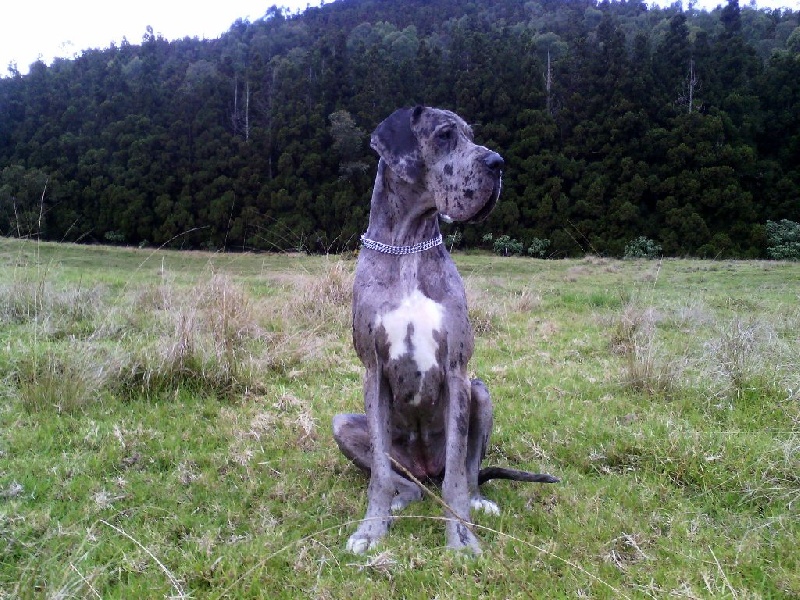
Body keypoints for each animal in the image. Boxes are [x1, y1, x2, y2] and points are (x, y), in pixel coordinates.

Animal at [333, 106, 557, 554]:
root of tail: (424, 468)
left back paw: (477, 500)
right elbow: (379, 473)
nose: (498, 163)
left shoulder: (457, 371)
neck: (407, 247)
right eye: (445, 135)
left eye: (471, 134)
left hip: (480, 391)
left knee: (465, 473)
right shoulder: (373, 371)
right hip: (344, 425)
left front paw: (461, 534)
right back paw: (402, 498)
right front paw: (371, 529)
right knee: (404, 482)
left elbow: (456, 472)